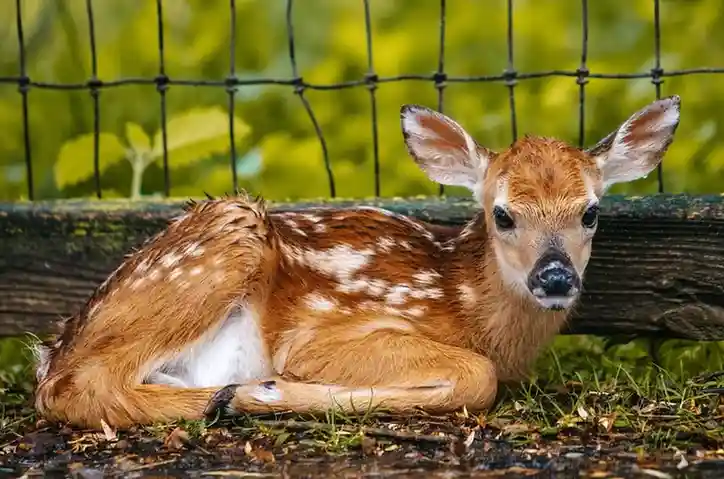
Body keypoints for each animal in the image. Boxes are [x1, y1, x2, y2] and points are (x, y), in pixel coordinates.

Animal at [32, 95, 681, 430]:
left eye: (590, 212)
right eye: (502, 215)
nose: (555, 276)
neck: (466, 303)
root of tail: (55, 343)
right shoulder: (325, 333)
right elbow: (477, 375)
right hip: (227, 237)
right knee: (76, 388)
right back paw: (245, 394)